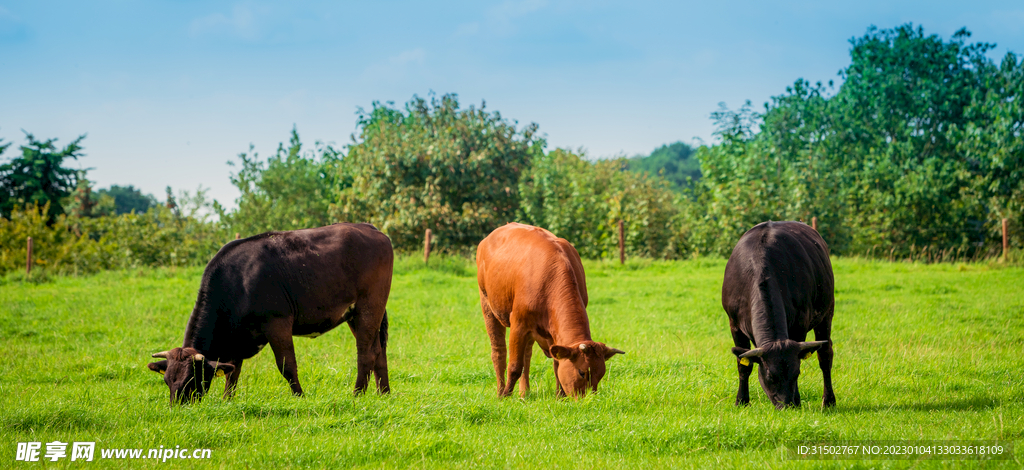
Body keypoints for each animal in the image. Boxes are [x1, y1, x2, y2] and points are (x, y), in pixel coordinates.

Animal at [148, 223, 391, 405]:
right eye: (167, 381)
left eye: (191, 378)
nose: (178, 406)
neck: (237, 281)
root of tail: (371, 229)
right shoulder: (238, 336)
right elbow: (232, 370)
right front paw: (228, 400)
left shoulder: (277, 322)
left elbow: (286, 365)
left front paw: (299, 397)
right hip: (356, 315)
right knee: (378, 350)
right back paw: (384, 393)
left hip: (369, 307)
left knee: (365, 353)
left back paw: (357, 394)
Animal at [473, 223, 622, 397]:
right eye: (582, 372)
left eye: (601, 374)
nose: (589, 400)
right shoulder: (518, 324)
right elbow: (515, 366)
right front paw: (505, 396)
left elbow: (557, 365)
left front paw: (560, 396)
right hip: (488, 306)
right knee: (499, 352)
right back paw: (500, 392)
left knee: (527, 356)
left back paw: (524, 393)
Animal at [724, 221, 835, 407]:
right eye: (770, 376)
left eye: (796, 373)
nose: (787, 404)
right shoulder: (735, 325)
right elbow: (743, 365)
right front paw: (742, 400)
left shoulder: (800, 325)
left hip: (827, 313)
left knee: (825, 355)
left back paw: (828, 401)